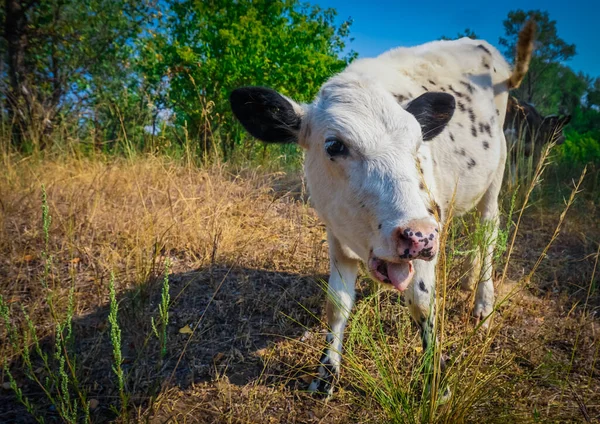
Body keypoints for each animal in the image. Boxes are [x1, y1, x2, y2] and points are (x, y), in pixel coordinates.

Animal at [229, 20, 536, 398]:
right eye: (334, 145)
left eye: (418, 144)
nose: (419, 236)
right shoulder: (336, 236)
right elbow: (337, 304)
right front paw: (326, 372)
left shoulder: (428, 225)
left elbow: (422, 304)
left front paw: (435, 377)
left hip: (496, 174)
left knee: (488, 233)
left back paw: (483, 303)